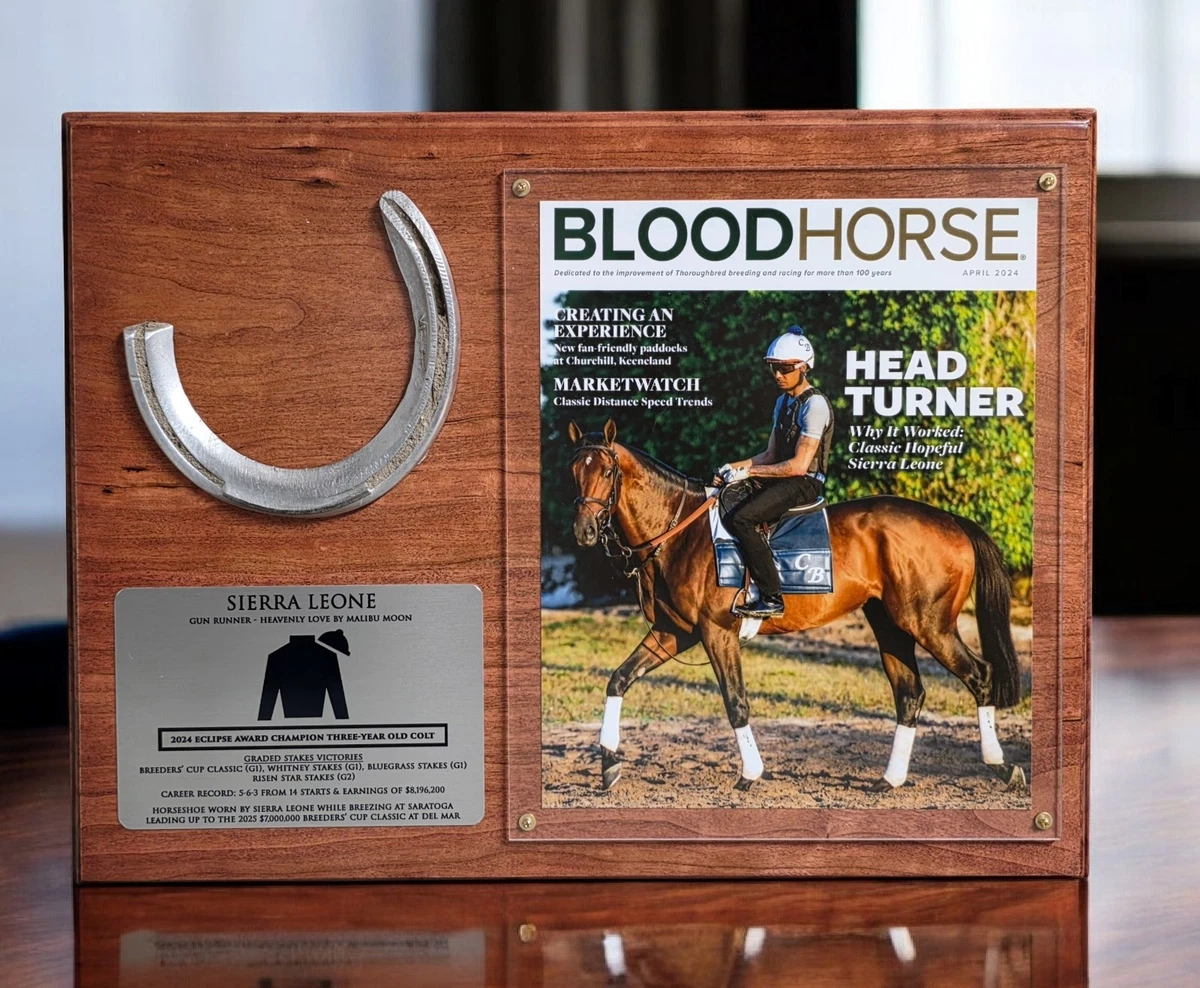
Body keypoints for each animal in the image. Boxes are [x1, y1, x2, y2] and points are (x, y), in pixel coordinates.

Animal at [567, 418, 1026, 794]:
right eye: (575, 471)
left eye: (607, 471)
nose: (584, 531)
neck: (680, 532)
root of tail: (951, 521)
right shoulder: (673, 634)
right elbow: (618, 680)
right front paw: (608, 763)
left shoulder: (717, 633)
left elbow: (736, 702)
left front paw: (750, 773)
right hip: (891, 625)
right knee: (910, 694)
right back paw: (890, 779)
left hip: (928, 623)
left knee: (979, 676)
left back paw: (1002, 766)